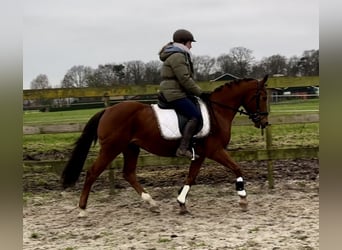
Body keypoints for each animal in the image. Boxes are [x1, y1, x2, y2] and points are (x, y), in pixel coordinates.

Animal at [60, 74, 270, 217]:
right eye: (263, 97)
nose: (264, 122)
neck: (217, 111)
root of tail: (107, 110)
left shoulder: (200, 154)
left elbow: (191, 177)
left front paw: (181, 202)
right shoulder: (215, 150)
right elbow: (237, 168)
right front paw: (243, 198)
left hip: (130, 148)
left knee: (128, 174)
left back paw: (151, 203)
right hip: (111, 148)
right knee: (92, 173)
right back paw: (82, 209)